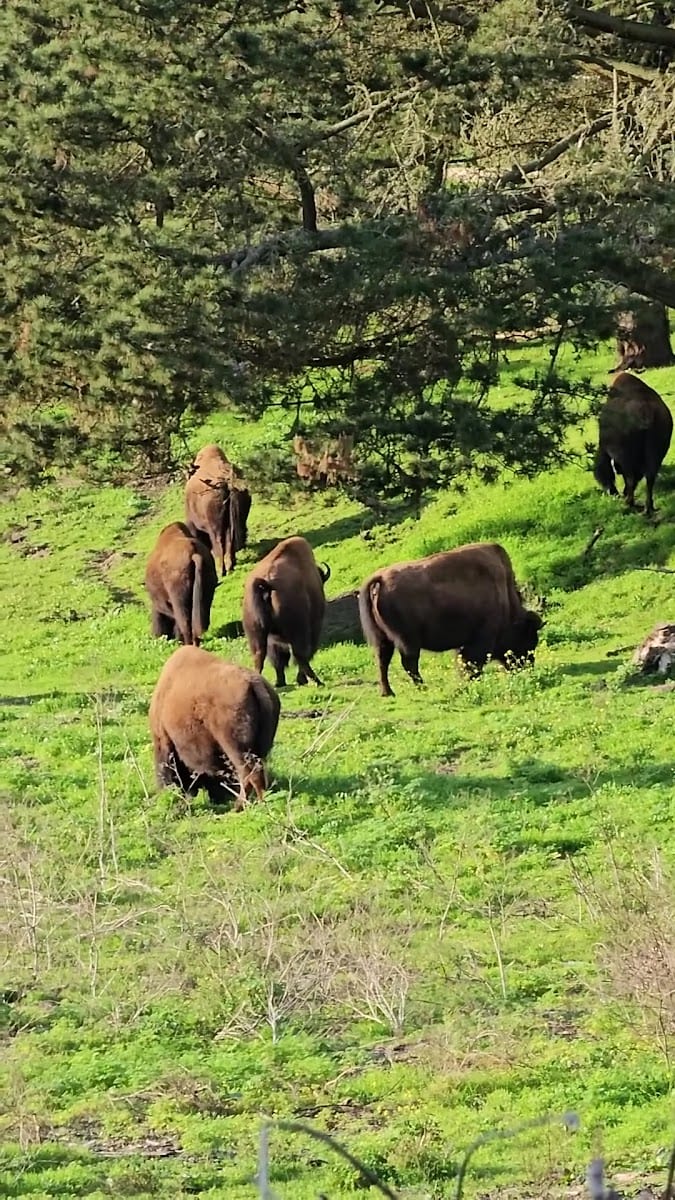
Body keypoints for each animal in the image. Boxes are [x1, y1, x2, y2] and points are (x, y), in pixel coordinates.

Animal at [185, 443, 252, 576]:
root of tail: (228, 482)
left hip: (216, 527)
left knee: (219, 542)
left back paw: (222, 570)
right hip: (235, 520)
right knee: (231, 540)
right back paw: (231, 565)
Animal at [242, 535, 330, 687]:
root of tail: (266, 584)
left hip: (257, 635)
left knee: (260, 657)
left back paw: (278, 683)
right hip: (298, 632)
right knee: (300, 656)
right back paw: (316, 681)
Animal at [358, 541, 543, 697]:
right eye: (528, 639)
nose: (527, 667)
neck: (504, 594)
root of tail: (380, 578)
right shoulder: (482, 637)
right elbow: (472, 661)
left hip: (383, 639)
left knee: (383, 661)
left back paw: (388, 692)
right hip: (407, 640)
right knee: (408, 663)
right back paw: (423, 688)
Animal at [594, 372, 673, 516]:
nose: (612, 492)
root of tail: (646, 411)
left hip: (626, 457)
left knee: (631, 478)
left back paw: (628, 503)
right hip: (656, 453)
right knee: (650, 477)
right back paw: (648, 507)